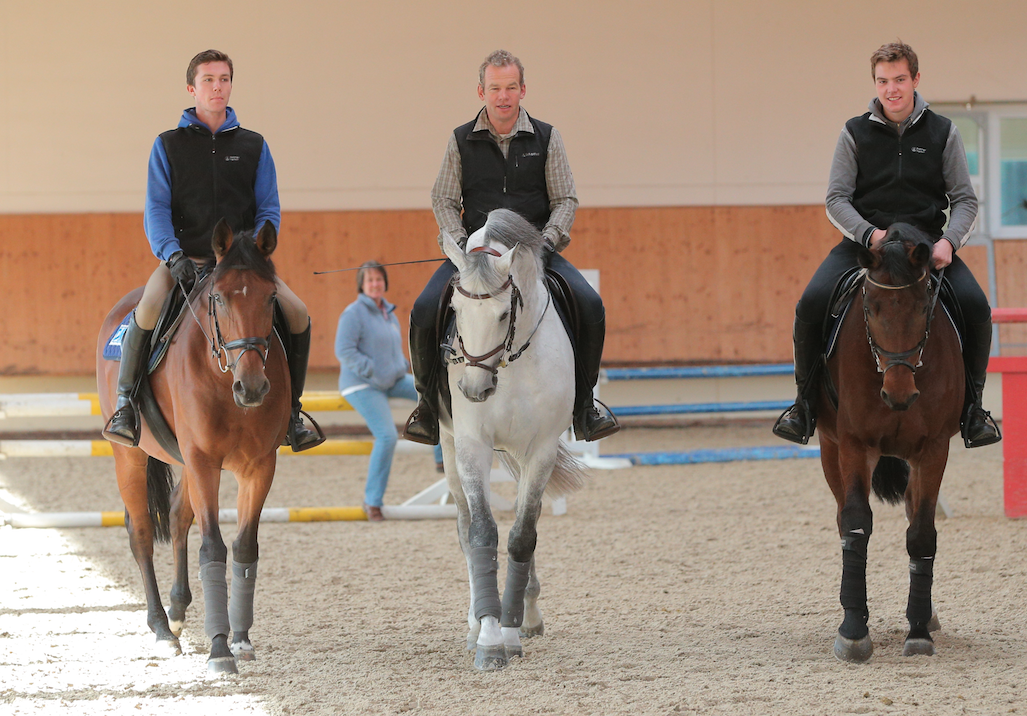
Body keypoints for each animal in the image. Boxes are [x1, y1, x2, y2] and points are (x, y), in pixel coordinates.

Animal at [96, 220, 291, 673]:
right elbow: (212, 547)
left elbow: (244, 547)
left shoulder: (259, 465)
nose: (252, 388)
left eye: (271, 297)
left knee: (177, 516)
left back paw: (179, 610)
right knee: (141, 531)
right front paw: (219, 648)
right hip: (130, 455)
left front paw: (240, 638)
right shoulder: (204, 462)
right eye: (218, 298)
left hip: (184, 460)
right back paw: (161, 629)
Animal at [441, 208, 587, 669]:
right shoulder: (472, 444)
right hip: (450, 450)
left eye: (505, 314)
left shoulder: (540, 449)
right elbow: (483, 533)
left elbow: (523, 536)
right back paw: (475, 623)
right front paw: (489, 638)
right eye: (454, 309)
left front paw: (510, 629)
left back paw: (528, 613)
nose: (473, 389)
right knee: (464, 526)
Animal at [817, 221, 961, 657]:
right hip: (829, 448)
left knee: (915, 513)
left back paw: (926, 613)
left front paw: (918, 630)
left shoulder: (934, 449)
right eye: (870, 307)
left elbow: (922, 533)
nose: (899, 394)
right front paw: (853, 630)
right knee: (842, 519)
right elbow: (856, 526)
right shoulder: (854, 444)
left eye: (923, 306)